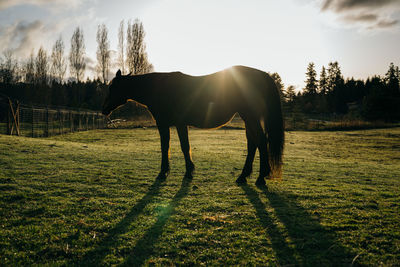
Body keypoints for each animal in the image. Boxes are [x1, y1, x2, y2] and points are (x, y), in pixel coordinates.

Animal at [103, 65, 284, 186]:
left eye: (113, 87)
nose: (104, 109)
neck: (159, 88)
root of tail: (263, 75)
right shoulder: (175, 124)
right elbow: (179, 146)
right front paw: (185, 171)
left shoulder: (169, 124)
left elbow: (174, 147)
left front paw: (169, 172)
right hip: (249, 118)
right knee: (253, 143)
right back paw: (243, 176)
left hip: (250, 116)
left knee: (261, 142)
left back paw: (261, 178)